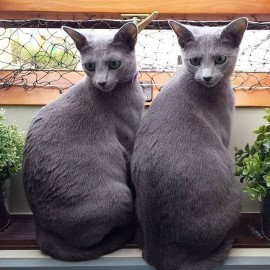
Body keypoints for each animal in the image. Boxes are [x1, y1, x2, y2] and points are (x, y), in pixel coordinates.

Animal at [23, 23, 146, 262]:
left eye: (114, 64)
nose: (101, 82)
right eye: (89, 66)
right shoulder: (129, 142)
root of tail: (42, 232)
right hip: (119, 196)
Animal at [132, 18, 248, 270]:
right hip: (235, 189)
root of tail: (161, 255)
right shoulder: (224, 133)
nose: (206, 77)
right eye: (195, 61)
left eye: (220, 59)